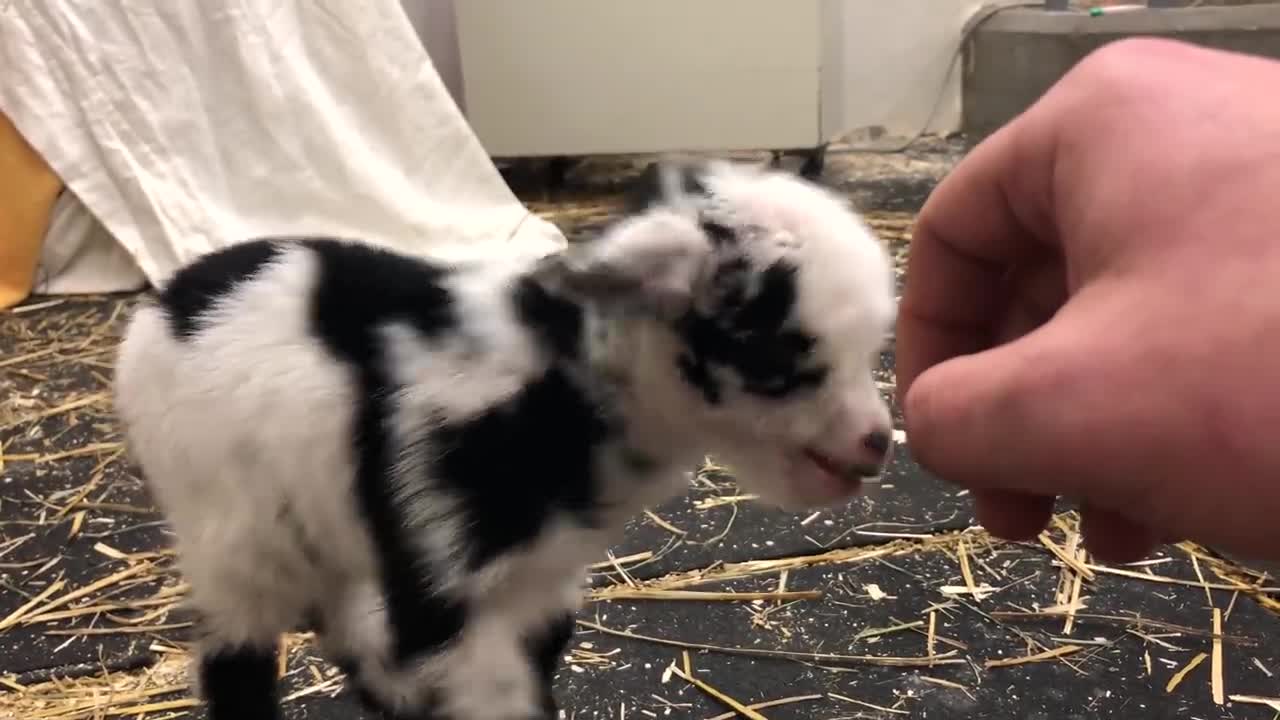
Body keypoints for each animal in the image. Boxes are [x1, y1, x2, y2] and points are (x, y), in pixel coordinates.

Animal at [115, 158, 901, 717]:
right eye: (781, 358)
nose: (878, 443)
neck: (560, 372)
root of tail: (164, 308)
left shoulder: (544, 583)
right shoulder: (444, 573)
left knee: (336, 614)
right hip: (228, 529)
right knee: (236, 657)